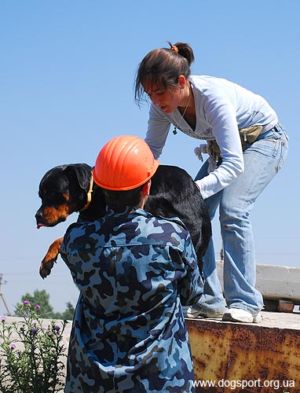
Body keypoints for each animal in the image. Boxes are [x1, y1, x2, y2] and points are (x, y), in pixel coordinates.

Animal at [35, 164, 211, 278]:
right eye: (40, 196)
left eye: (53, 194)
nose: (37, 216)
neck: (94, 192)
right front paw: (47, 260)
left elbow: (62, 236)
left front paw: (47, 260)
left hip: (153, 201)